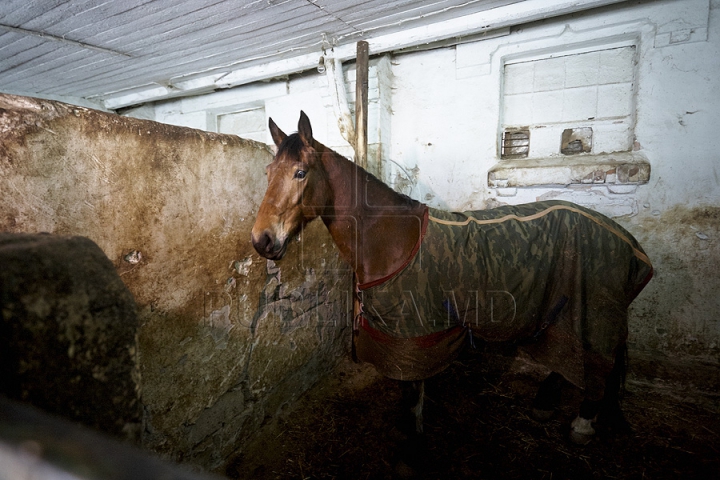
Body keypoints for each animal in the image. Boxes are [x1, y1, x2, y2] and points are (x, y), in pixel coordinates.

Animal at [252, 111, 652, 446]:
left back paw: (582, 424)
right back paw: (544, 405)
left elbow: (411, 394)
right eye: (268, 173)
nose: (262, 240)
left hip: (591, 315)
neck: (393, 238)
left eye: (301, 172)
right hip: (561, 315)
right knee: (568, 359)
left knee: (596, 365)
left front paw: (409, 442)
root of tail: (633, 247)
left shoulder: (412, 332)